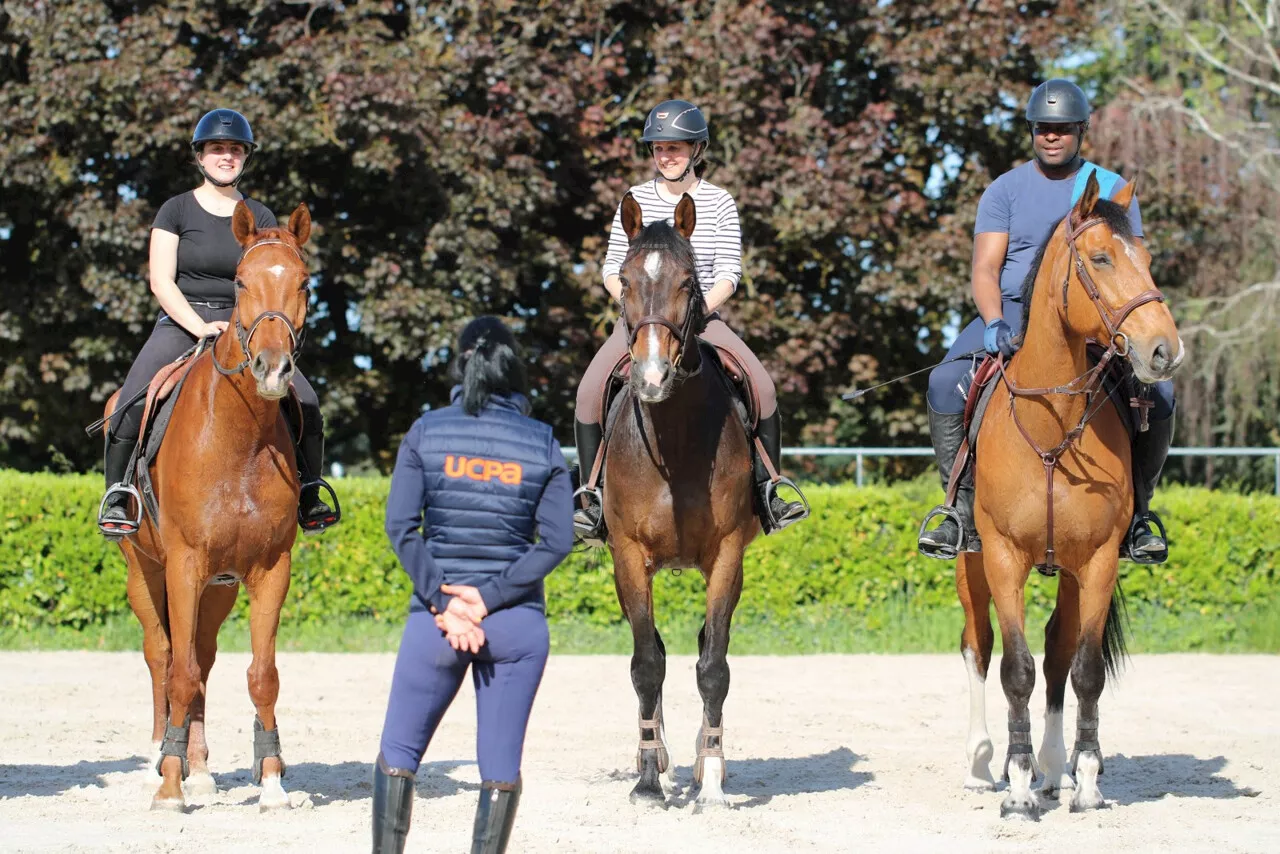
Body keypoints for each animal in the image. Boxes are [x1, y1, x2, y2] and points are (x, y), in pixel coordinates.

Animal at [101, 202, 316, 814]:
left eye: (304, 283)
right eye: (240, 282)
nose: (273, 369)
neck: (239, 440)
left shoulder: (270, 569)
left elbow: (261, 674)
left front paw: (272, 783)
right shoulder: (182, 564)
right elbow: (178, 673)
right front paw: (168, 788)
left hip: (218, 587)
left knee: (201, 655)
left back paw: (197, 768)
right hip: (144, 571)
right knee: (163, 655)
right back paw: (160, 761)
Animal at [599, 190, 757, 814]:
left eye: (689, 283)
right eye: (623, 280)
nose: (650, 377)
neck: (676, 439)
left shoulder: (728, 554)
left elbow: (714, 666)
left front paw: (711, 778)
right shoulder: (627, 555)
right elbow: (647, 664)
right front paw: (647, 778)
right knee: (659, 653)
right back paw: (661, 759)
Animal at [957, 175, 1182, 819]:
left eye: (1147, 259)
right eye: (1101, 258)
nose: (1165, 350)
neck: (1054, 424)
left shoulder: (1100, 562)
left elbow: (1083, 671)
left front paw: (1083, 779)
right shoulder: (1003, 558)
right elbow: (1014, 669)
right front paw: (1017, 786)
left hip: (1073, 575)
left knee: (1058, 651)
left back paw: (1055, 769)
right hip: (970, 564)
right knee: (978, 646)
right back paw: (982, 764)